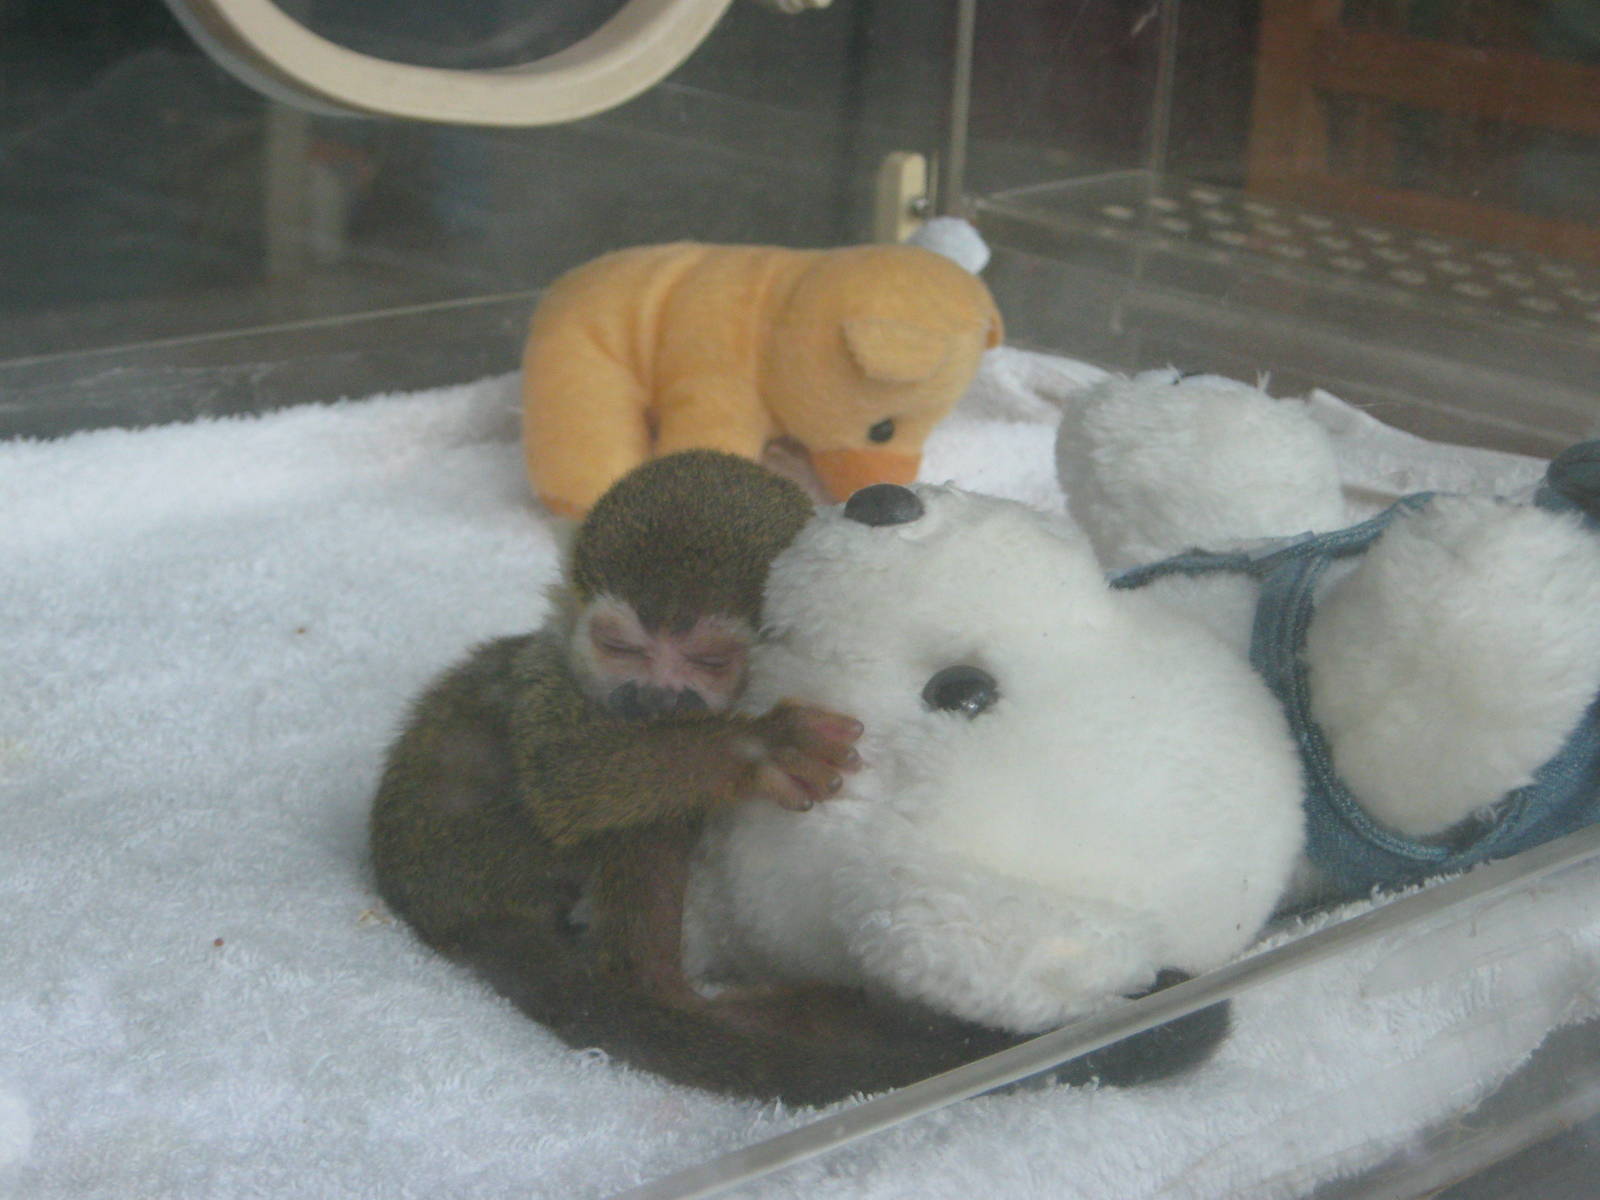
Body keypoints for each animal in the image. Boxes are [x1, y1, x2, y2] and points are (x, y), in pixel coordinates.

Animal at [369, 450, 1232, 1106]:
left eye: (709, 660)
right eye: (621, 648)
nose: (652, 699)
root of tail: (436, 903)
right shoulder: (559, 673)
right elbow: (563, 773)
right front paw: (752, 750)